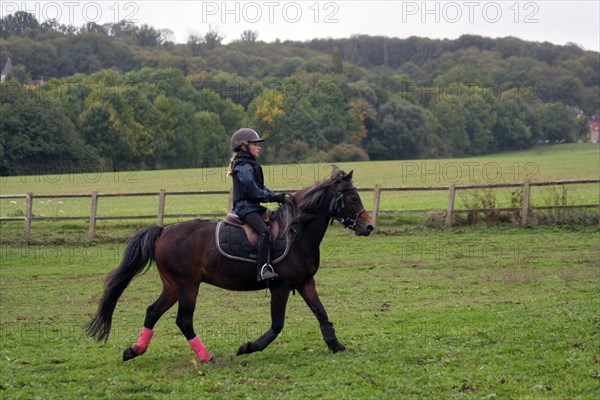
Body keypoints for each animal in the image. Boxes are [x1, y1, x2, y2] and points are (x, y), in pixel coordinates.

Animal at [86, 168, 372, 362]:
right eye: (353, 198)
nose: (368, 226)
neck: (296, 233)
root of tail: (164, 231)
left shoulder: (305, 282)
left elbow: (322, 313)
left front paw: (336, 345)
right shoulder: (280, 287)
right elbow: (277, 325)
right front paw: (248, 347)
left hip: (172, 286)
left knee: (152, 312)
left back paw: (134, 350)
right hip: (187, 285)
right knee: (183, 320)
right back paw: (206, 357)